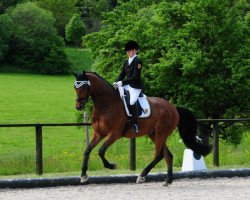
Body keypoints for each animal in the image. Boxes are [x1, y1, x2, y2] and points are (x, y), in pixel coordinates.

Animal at [73, 71, 212, 185]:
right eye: (75, 87)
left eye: (84, 86)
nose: (79, 106)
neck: (106, 105)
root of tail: (173, 108)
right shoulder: (98, 133)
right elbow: (87, 151)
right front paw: (83, 175)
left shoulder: (114, 134)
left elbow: (101, 151)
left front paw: (111, 166)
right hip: (154, 134)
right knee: (168, 155)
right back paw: (168, 180)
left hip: (161, 133)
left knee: (159, 155)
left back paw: (142, 175)